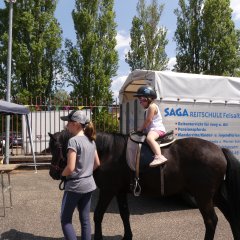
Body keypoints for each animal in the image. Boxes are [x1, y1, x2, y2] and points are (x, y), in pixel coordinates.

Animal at [48, 131, 240, 240]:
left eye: (56, 148)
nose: (53, 173)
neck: (108, 152)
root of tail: (219, 149)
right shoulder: (120, 192)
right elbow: (125, 215)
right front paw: (127, 237)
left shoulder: (108, 191)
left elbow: (98, 215)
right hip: (215, 195)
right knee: (231, 215)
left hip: (203, 196)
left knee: (211, 221)